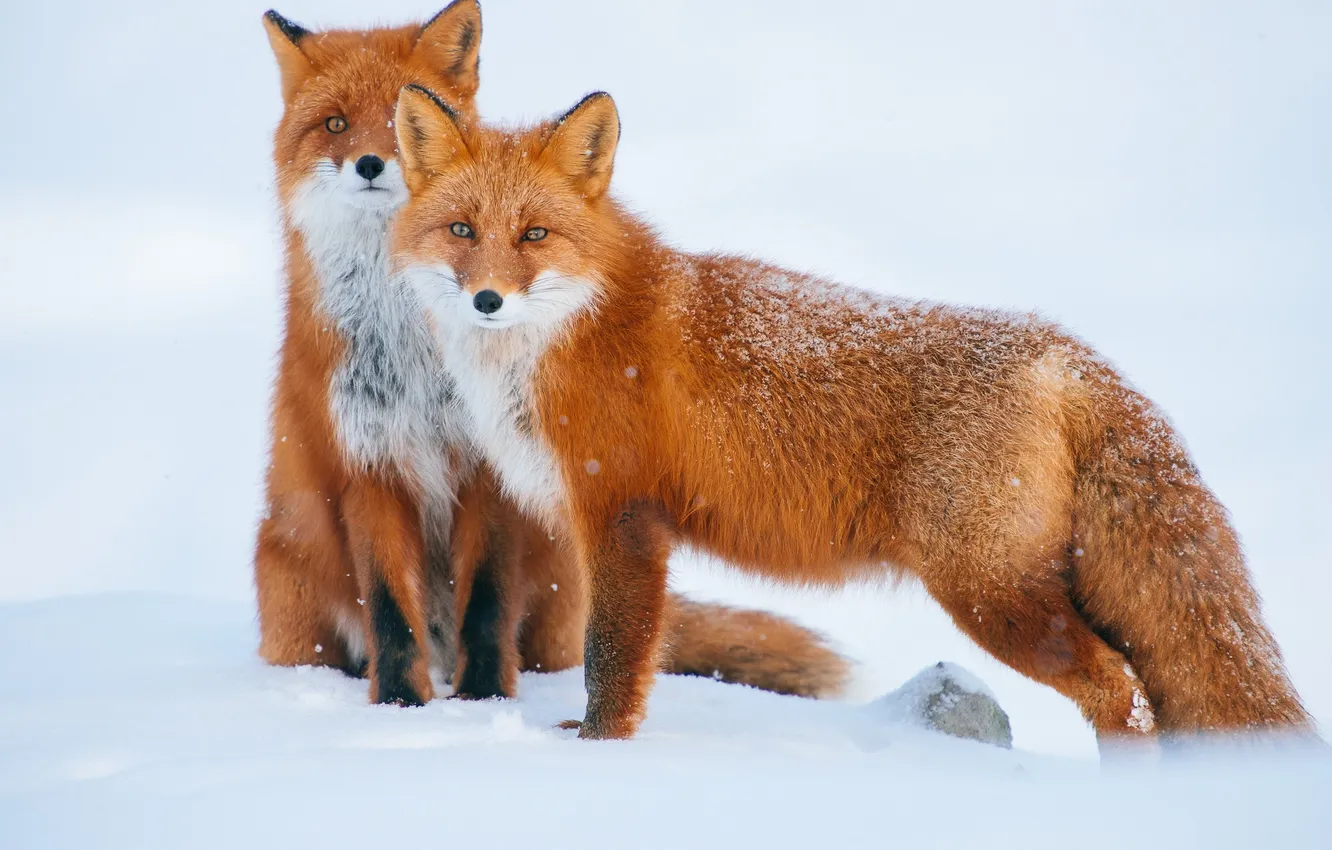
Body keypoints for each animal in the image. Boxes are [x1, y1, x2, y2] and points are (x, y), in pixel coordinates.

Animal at [254, 6, 849, 706]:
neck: (421, 351)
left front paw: (485, 698)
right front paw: (402, 706)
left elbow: (487, 600)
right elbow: (391, 611)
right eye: (336, 124)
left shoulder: (492, 471)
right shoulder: (369, 463)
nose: (373, 163)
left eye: (397, 121)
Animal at [388, 84, 1316, 748]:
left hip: (991, 597)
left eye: (534, 235)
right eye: (462, 231)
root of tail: (1062, 351)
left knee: (1121, 691)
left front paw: (597, 750)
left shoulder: (621, 517)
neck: (572, 334)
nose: (487, 299)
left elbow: (610, 659)